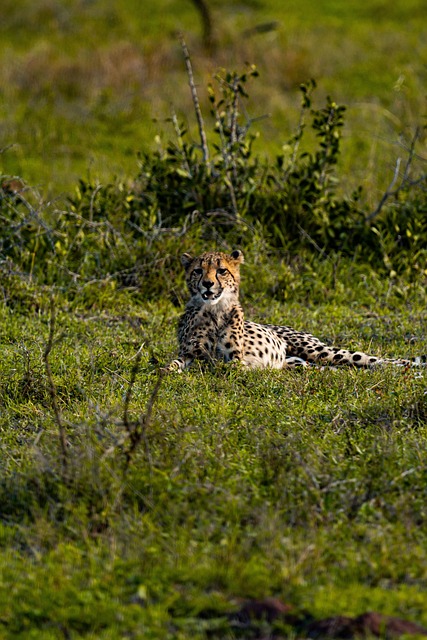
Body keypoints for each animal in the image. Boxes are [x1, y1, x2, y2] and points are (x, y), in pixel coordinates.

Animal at [166, 249, 426, 372]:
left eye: (221, 271)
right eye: (198, 271)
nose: (208, 284)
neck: (214, 310)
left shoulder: (234, 359)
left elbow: (222, 364)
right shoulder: (191, 354)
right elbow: (178, 363)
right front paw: (168, 370)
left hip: (318, 350)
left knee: (373, 359)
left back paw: (412, 367)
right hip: (301, 362)